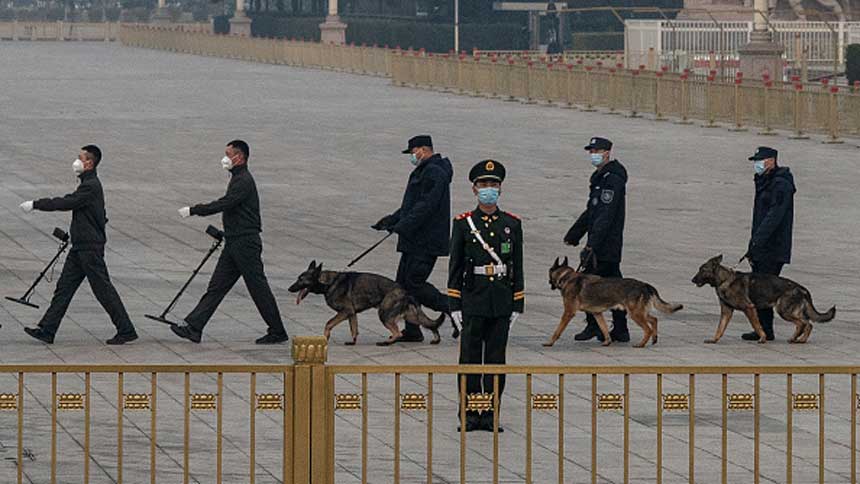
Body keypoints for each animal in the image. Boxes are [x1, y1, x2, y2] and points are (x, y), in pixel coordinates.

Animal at [288, 262, 450, 346]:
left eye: (301, 280)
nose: (289, 289)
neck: (329, 282)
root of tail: (405, 291)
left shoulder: (345, 311)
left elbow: (328, 323)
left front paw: (325, 337)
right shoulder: (351, 314)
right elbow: (354, 329)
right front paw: (353, 342)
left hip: (384, 314)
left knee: (397, 332)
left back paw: (388, 342)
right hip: (410, 316)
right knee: (429, 324)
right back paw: (436, 338)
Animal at [548, 258, 680, 348]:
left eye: (549, 271)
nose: (549, 284)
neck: (567, 276)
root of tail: (644, 285)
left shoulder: (568, 313)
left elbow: (557, 330)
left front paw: (550, 342)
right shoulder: (597, 314)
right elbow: (604, 329)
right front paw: (607, 341)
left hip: (635, 314)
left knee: (648, 329)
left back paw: (641, 344)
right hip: (640, 313)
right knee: (654, 319)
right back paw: (654, 339)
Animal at [696, 253, 836, 344]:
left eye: (702, 270)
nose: (692, 280)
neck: (724, 280)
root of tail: (801, 288)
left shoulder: (749, 308)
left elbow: (757, 326)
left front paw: (763, 338)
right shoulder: (726, 312)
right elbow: (720, 328)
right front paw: (714, 339)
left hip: (783, 311)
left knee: (802, 323)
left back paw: (795, 339)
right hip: (791, 312)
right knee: (808, 324)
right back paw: (801, 339)